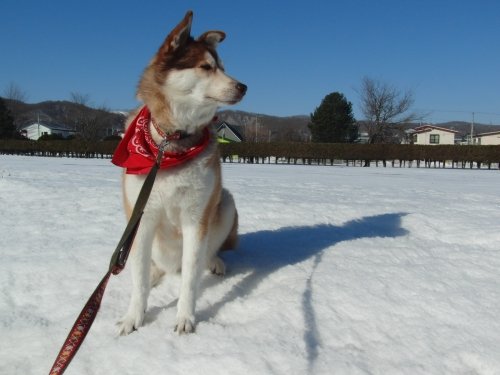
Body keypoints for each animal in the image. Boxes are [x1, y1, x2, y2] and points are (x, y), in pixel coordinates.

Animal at [113, 11, 246, 334]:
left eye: (223, 67)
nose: (243, 86)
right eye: (206, 67)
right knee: (149, 267)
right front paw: (134, 317)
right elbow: (138, 280)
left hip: (224, 203)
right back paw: (153, 273)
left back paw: (214, 263)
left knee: (204, 256)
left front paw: (185, 318)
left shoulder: (196, 219)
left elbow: (189, 280)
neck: (171, 142)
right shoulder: (141, 218)